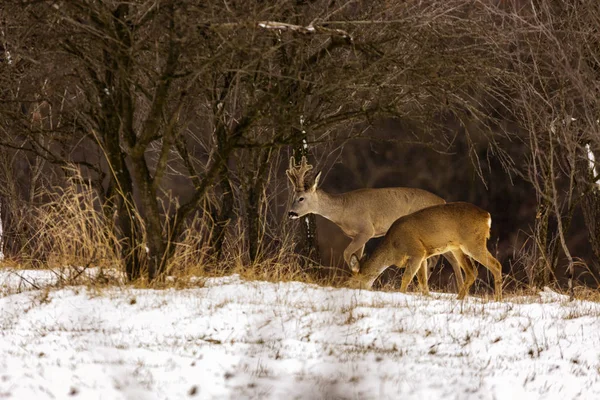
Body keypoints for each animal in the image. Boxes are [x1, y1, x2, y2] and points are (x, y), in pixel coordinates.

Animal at [286, 155, 464, 292]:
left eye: (301, 198)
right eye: (293, 196)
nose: (291, 213)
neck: (343, 209)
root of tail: (443, 200)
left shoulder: (366, 230)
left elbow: (346, 253)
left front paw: (356, 275)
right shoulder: (358, 235)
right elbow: (356, 255)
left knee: (452, 258)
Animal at [346, 203, 502, 300]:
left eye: (350, 282)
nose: (347, 289)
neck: (392, 249)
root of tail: (487, 216)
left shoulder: (416, 251)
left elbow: (407, 277)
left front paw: (401, 295)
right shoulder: (422, 255)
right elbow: (422, 280)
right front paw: (427, 296)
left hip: (473, 242)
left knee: (496, 265)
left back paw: (497, 299)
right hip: (457, 247)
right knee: (472, 271)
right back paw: (459, 298)